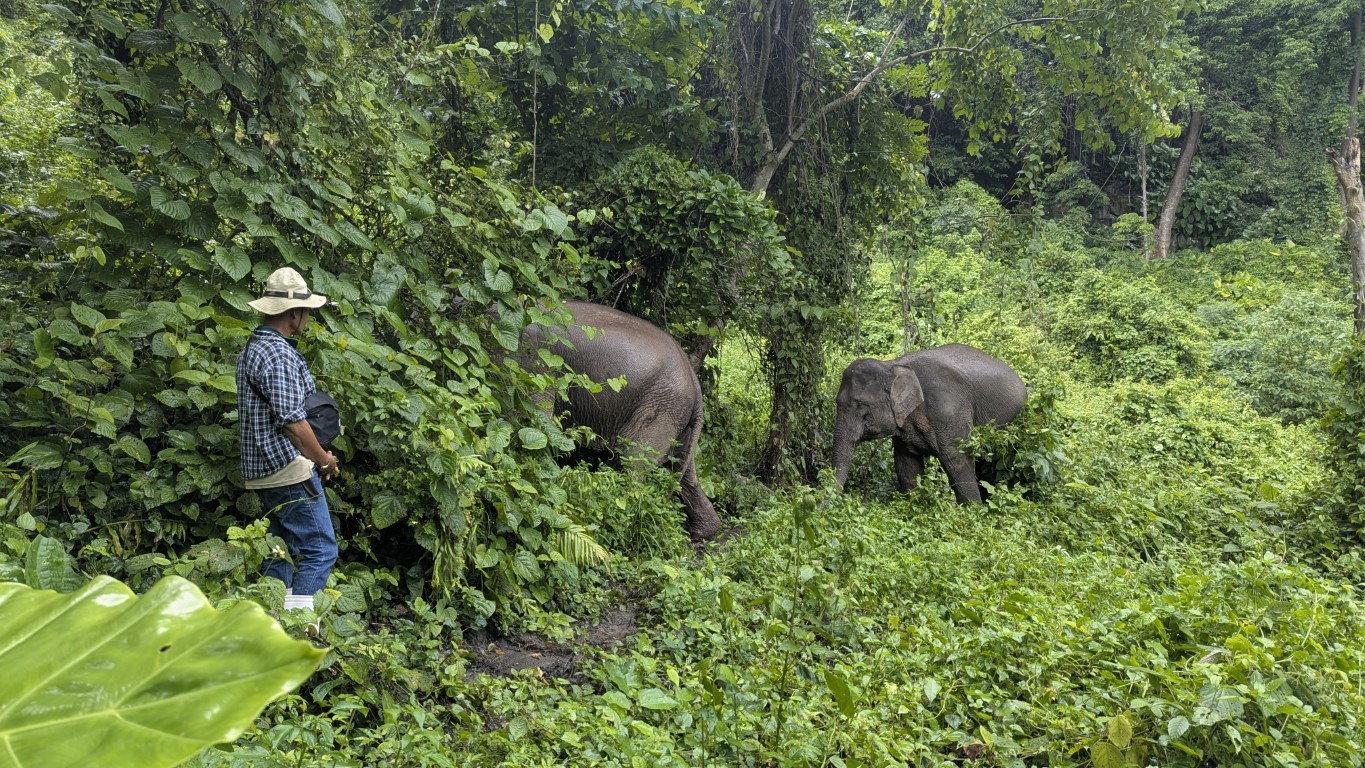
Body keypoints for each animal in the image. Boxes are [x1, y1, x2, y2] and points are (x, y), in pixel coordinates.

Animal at [520, 301, 723, 541]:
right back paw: (704, 532)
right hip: (678, 417)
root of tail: (694, 380)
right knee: (684, 472)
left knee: (634, 462)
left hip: (661, 408)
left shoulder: (533, 355)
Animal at [831, 344, 1026, 503]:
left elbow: (958, 460)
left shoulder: (948, 410)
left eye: (860, 405)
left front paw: (972, 512)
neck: (892, 365)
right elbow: (907, 465)